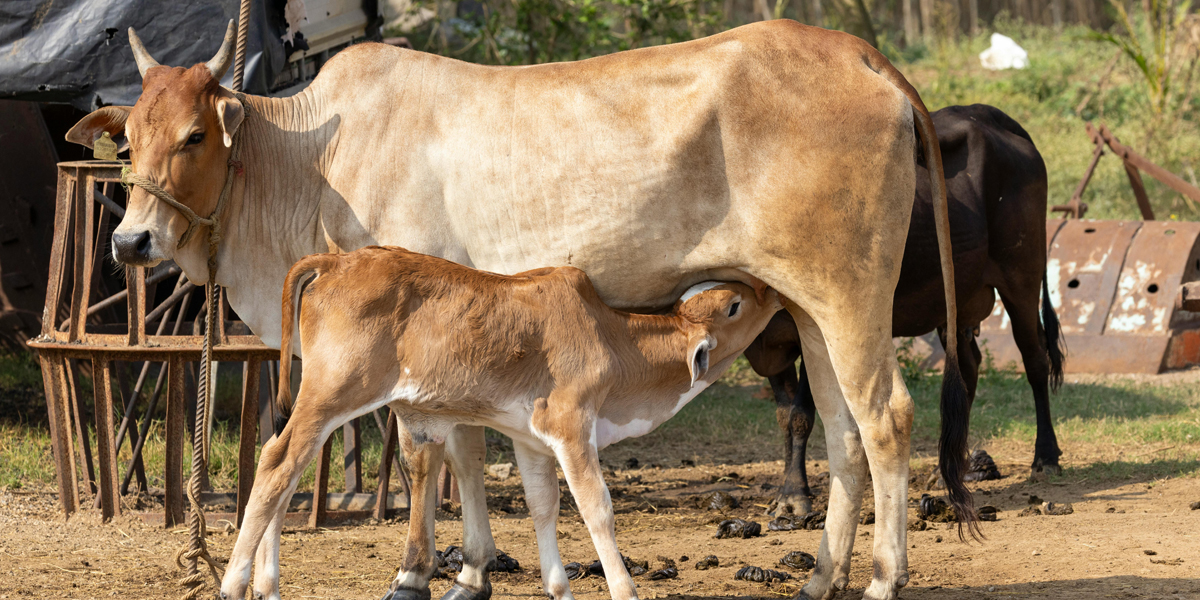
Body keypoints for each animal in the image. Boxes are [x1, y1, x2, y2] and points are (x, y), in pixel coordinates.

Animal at [226, 246, 781, 600]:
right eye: (735, 304)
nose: (768, 290)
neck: (612, 339)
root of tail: (336, 260)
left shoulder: (532, 439)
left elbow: (542, 505)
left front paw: (559, 589)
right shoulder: (572, 424)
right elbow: (597, 509)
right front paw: (625, 589)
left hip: (319, 401)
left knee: (284, 472)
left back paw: (267, 586)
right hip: (333, 393)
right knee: (276, 465)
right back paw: (233, 582)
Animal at [744, 104, 1066, 516]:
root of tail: (985, 114)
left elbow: (802, 414)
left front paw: (795, 497)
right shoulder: (769, 342)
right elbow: (785, 416)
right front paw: (788, 490)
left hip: (1021, 275)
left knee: (1035, 360)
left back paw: (1046, 457)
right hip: (954, 302)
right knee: (968, 368)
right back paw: (951, 466)